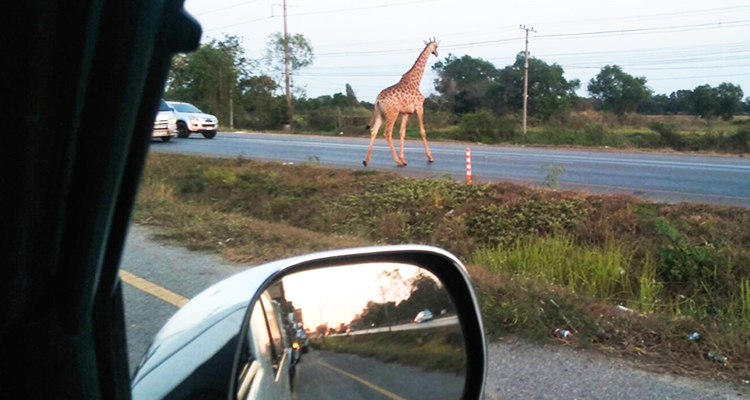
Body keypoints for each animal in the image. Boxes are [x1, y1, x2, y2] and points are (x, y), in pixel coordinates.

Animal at [364, 38, 440, 166]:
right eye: (436, 46)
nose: (436, 53)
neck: (416, 81)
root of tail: (378, 99)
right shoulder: (419, 108)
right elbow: (422, 131)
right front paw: (430, 157)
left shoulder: (405, 113)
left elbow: (402, 132)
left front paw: (404, 158)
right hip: (392, 114)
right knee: (387, 133)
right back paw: (397, 161)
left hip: (380, 114)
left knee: (374, 130)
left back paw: (366, 161)